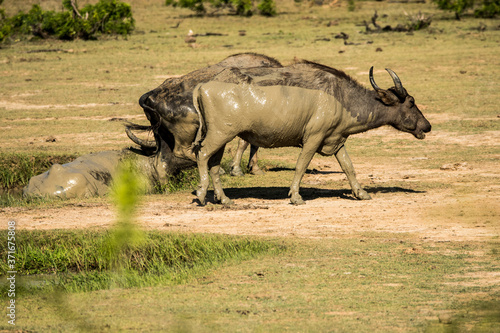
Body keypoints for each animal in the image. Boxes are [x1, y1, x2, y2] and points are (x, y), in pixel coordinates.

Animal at [125, 52, 284, 179]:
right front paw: (237, 169)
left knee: (162, 159)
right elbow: (245, 143)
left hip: (161, 133)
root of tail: (153, 94)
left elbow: (254, 143)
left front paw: (254, 168)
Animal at [193, 60, 432, 204]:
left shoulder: (336, 140)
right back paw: (202, 194)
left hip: (222, 139)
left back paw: (224, 199)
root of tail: (203, 86)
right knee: (202, 155)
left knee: (214, 165)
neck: (342, 98)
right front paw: (296, 196)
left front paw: (361, 193)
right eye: (411, 102)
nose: (427, 126)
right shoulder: (312, 139)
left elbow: (349, 167)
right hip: (219, 135)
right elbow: (301, 166)